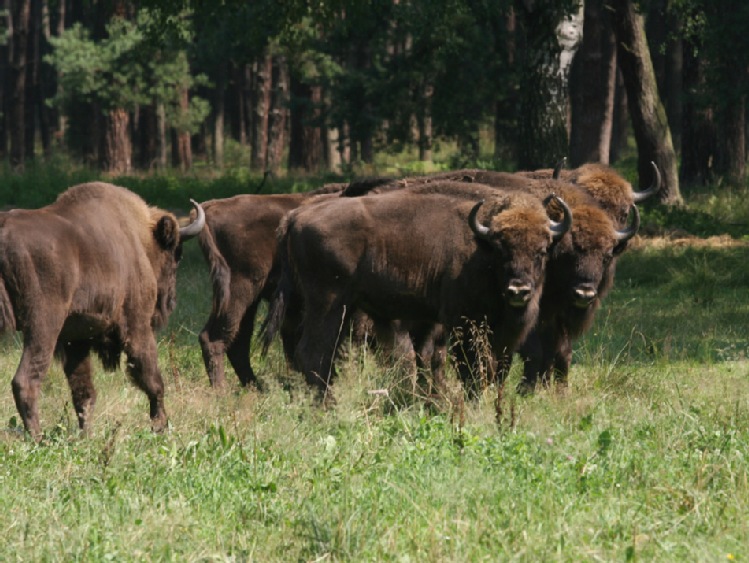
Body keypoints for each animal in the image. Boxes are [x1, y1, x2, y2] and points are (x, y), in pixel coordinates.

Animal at [0, 183, 205, 438]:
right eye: (175, 254)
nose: (170, 301)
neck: (139, 239)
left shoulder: (75, 340)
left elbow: (83, 392)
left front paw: (86, 435)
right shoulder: (137, 327)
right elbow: (153, 380)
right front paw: (160, 426)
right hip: (43, 327)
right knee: (25, 380)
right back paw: (39, 438)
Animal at [260, 185, 568, 396]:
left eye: (542, 251)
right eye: (502, 249)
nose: (519, 290)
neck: (482, 246)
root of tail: (296, 216)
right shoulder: (462, 324)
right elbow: (469, 368)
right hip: (328, 304)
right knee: (314, 353)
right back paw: (327, 407)